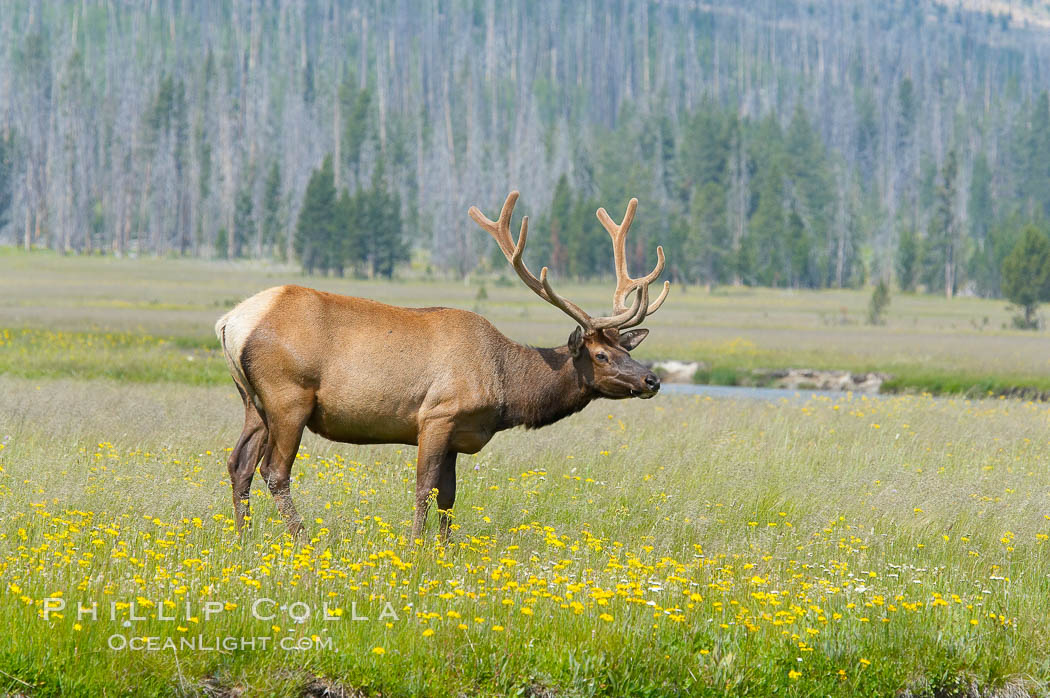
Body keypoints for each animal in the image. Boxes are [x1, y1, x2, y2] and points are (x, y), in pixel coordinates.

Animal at [216, 193, 667, 541]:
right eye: (601, 355)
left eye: (626, 348)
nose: (652, 379)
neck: (505, 389)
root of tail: (230, 321)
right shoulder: (437, 415)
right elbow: (424, 490)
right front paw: (415, 547)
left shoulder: (457, 434)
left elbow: (448, 498)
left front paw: (444, 550)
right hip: (288, 396)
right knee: (274, 471)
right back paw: (301, 540)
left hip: (253, 401)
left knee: (239, 464)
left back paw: (244, 540)